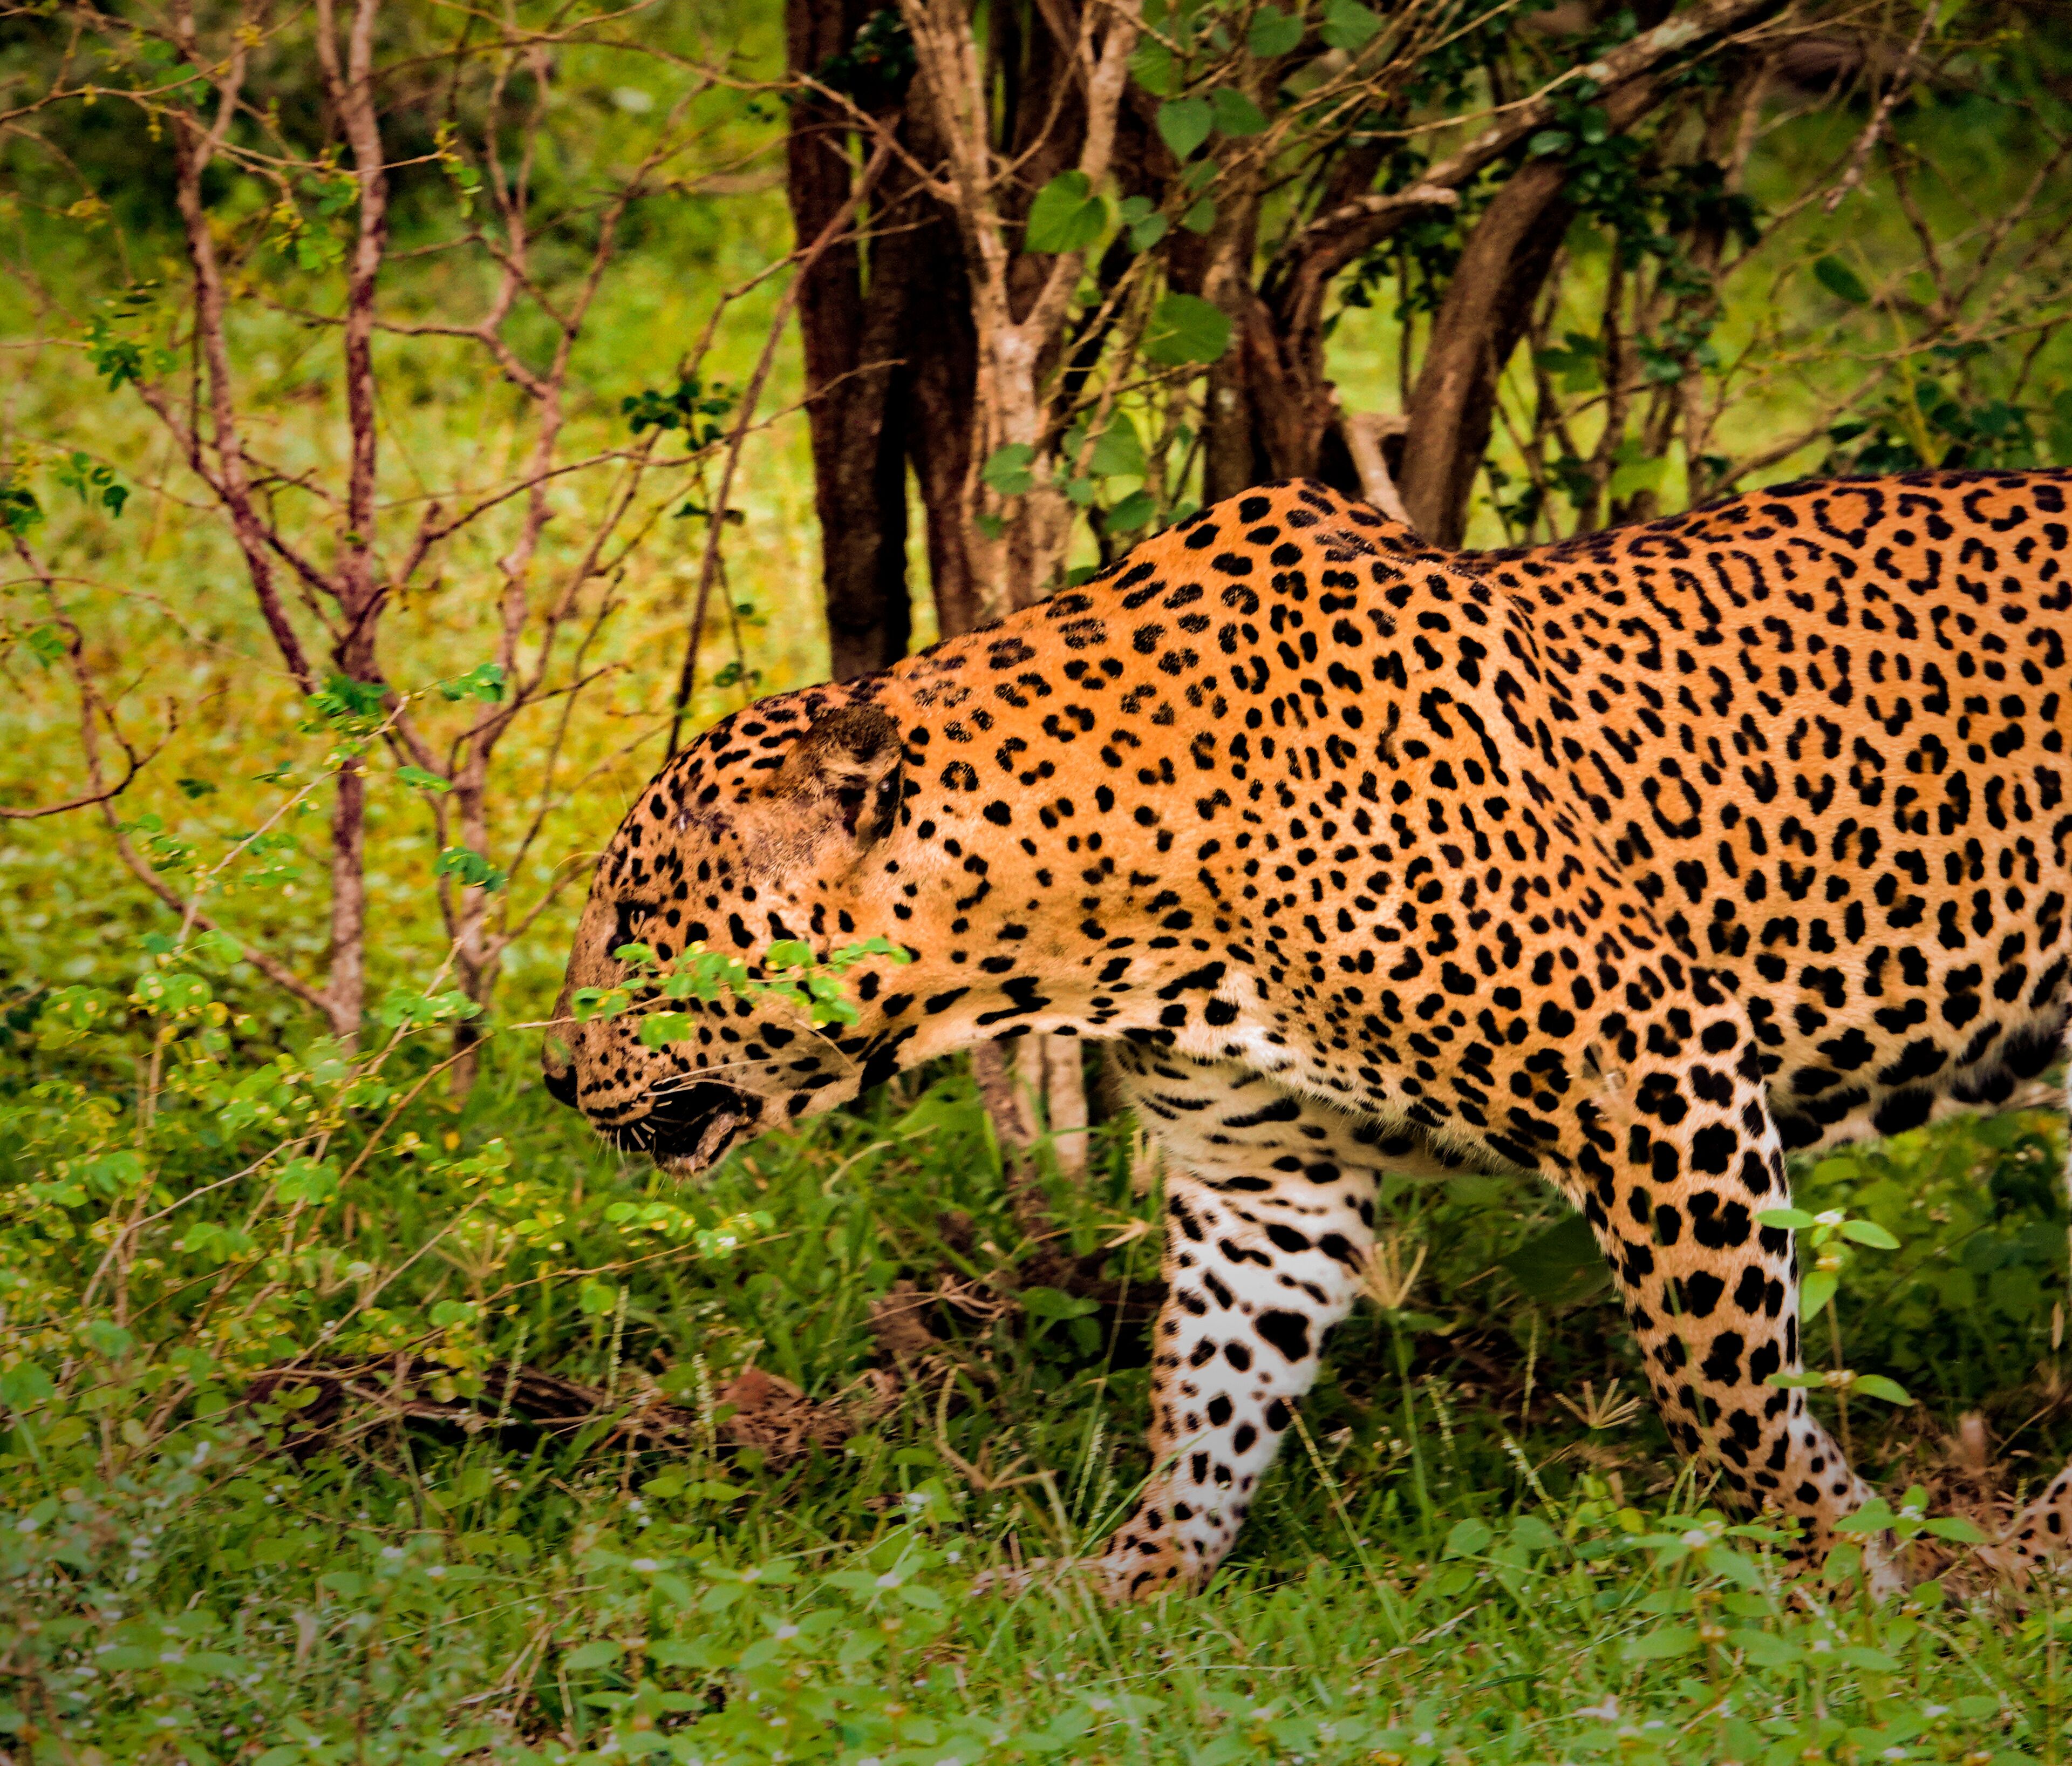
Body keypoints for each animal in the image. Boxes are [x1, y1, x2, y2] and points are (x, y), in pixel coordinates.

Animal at [545, 468, 2072, 1597]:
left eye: (634, 923)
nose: (553, 1074)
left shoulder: (1654, 1070)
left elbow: (1721, 1378)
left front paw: (1846, 1566)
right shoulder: (1260, 1176)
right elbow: (1212, 1390)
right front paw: (1138, 1578)